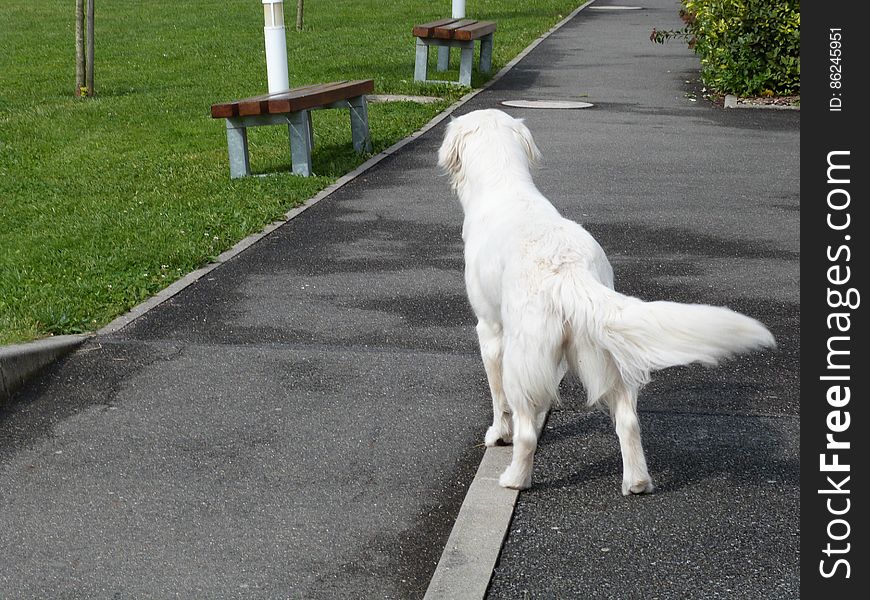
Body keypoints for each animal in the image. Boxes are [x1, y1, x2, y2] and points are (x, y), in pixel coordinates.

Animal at [442, 109, 776, 492]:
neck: (504, 185)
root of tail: (568, 269)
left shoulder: (490, 330)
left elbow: (498, 400)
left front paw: (498, 435)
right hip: (606, 349)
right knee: (629, 420)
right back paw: (637, 481)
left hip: (522, 355)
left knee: (526, 430)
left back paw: (514, 478)